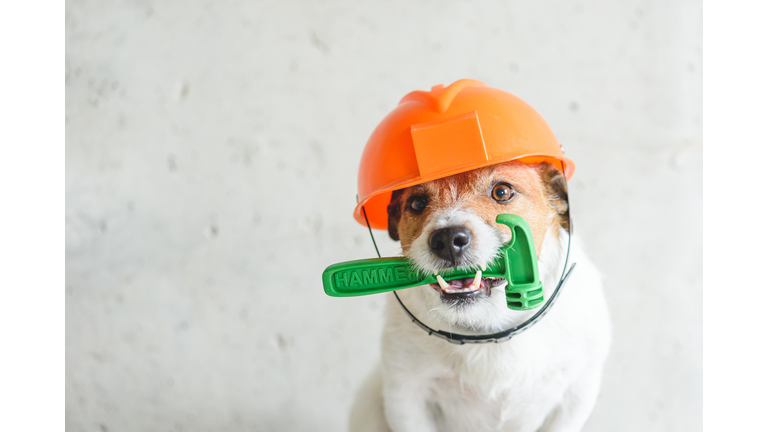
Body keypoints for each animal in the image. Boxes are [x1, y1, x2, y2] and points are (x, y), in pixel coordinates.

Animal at [350, 161, 612, 432]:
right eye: (417, 203)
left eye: (502, 192)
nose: (447, 239)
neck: (488, 330)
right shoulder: (406, 398)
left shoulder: (575, 396)